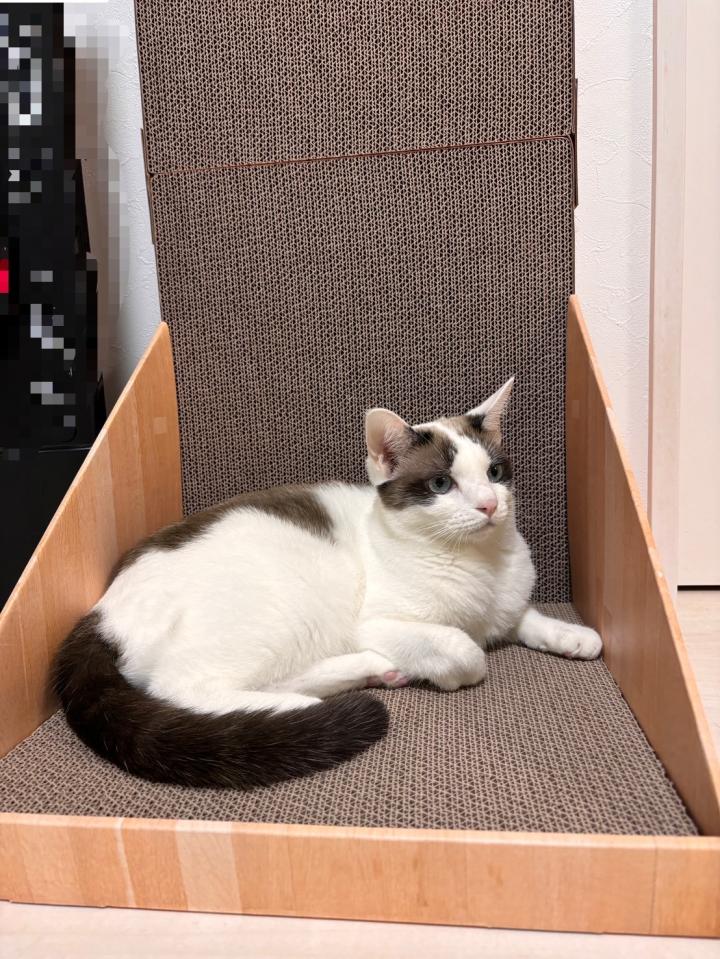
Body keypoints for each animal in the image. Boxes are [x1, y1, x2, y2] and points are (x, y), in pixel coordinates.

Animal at [53, 376, 602, 790]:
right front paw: (452, 666)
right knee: (188, 687)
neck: (479, 563)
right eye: (441, 484)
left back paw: (367, 672)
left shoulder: (506, 602)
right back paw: (300, 705)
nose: (489, 505)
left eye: (495, 472)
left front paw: (570, 634)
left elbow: (522, 615)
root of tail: (102, 609)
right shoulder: (378, 622)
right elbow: (466, 650)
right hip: (277, 608)